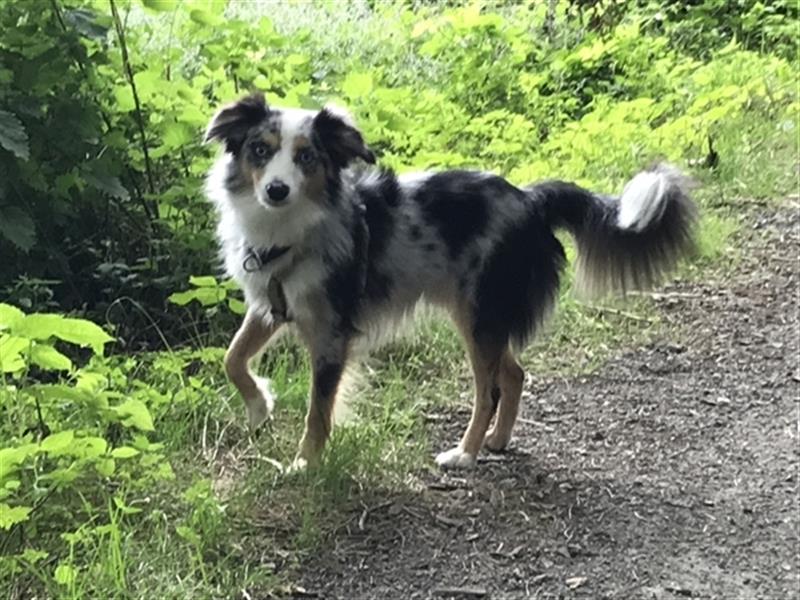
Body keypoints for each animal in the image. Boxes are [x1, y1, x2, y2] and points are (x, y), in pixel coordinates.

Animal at [203, 92, 696, 468]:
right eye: (260, 150)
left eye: (307, 157)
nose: (276, 190)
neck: (289, 233)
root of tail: (530, 199)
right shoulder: (271, 304)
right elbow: (232, 358)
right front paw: (259, 407)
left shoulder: (331, 334)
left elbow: (317, 411)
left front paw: (304, 463)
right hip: (483, 315)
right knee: (513, 374)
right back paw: (497, 441)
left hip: (480, 313)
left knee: (488, 390)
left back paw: (465, 452)